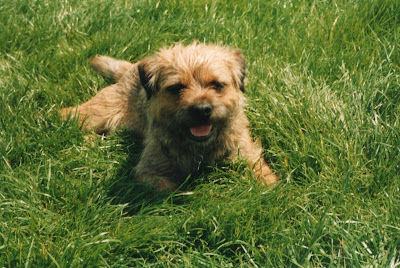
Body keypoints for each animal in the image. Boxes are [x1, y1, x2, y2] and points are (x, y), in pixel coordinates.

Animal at [60, 42, 278, 191]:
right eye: (176, 88)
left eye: (216, 85)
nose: (201, 109)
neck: (199, 149)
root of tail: (132, 67)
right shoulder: (149, 171)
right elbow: (170, 191)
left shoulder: (246, 152)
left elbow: (263, 174)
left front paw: (274, 191)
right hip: (100, 111)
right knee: (70, 115)